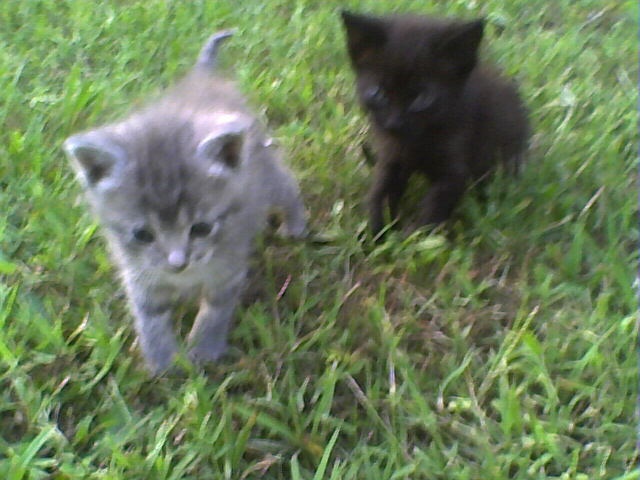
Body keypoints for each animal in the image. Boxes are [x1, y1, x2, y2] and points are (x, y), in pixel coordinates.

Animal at [63, 30, 307, 374]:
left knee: (286, 184)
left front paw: (204, 347)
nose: (178, 263)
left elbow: (216, 307)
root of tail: (202, 77)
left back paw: (295, 222)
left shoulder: (228, 265)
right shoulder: (139, 273)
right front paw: (162, 359)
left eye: (201, 228)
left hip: (265, 174)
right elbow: (149, 315)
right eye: (142, 234)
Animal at [341, 11, 529, 236]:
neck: (415, 142)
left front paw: (414, 237)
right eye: (378, 93)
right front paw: (377, 232)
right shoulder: (390, 156)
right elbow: (380, 190)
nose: (395, 123)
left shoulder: (454, 169)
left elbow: (434, 206)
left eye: (423, 98)